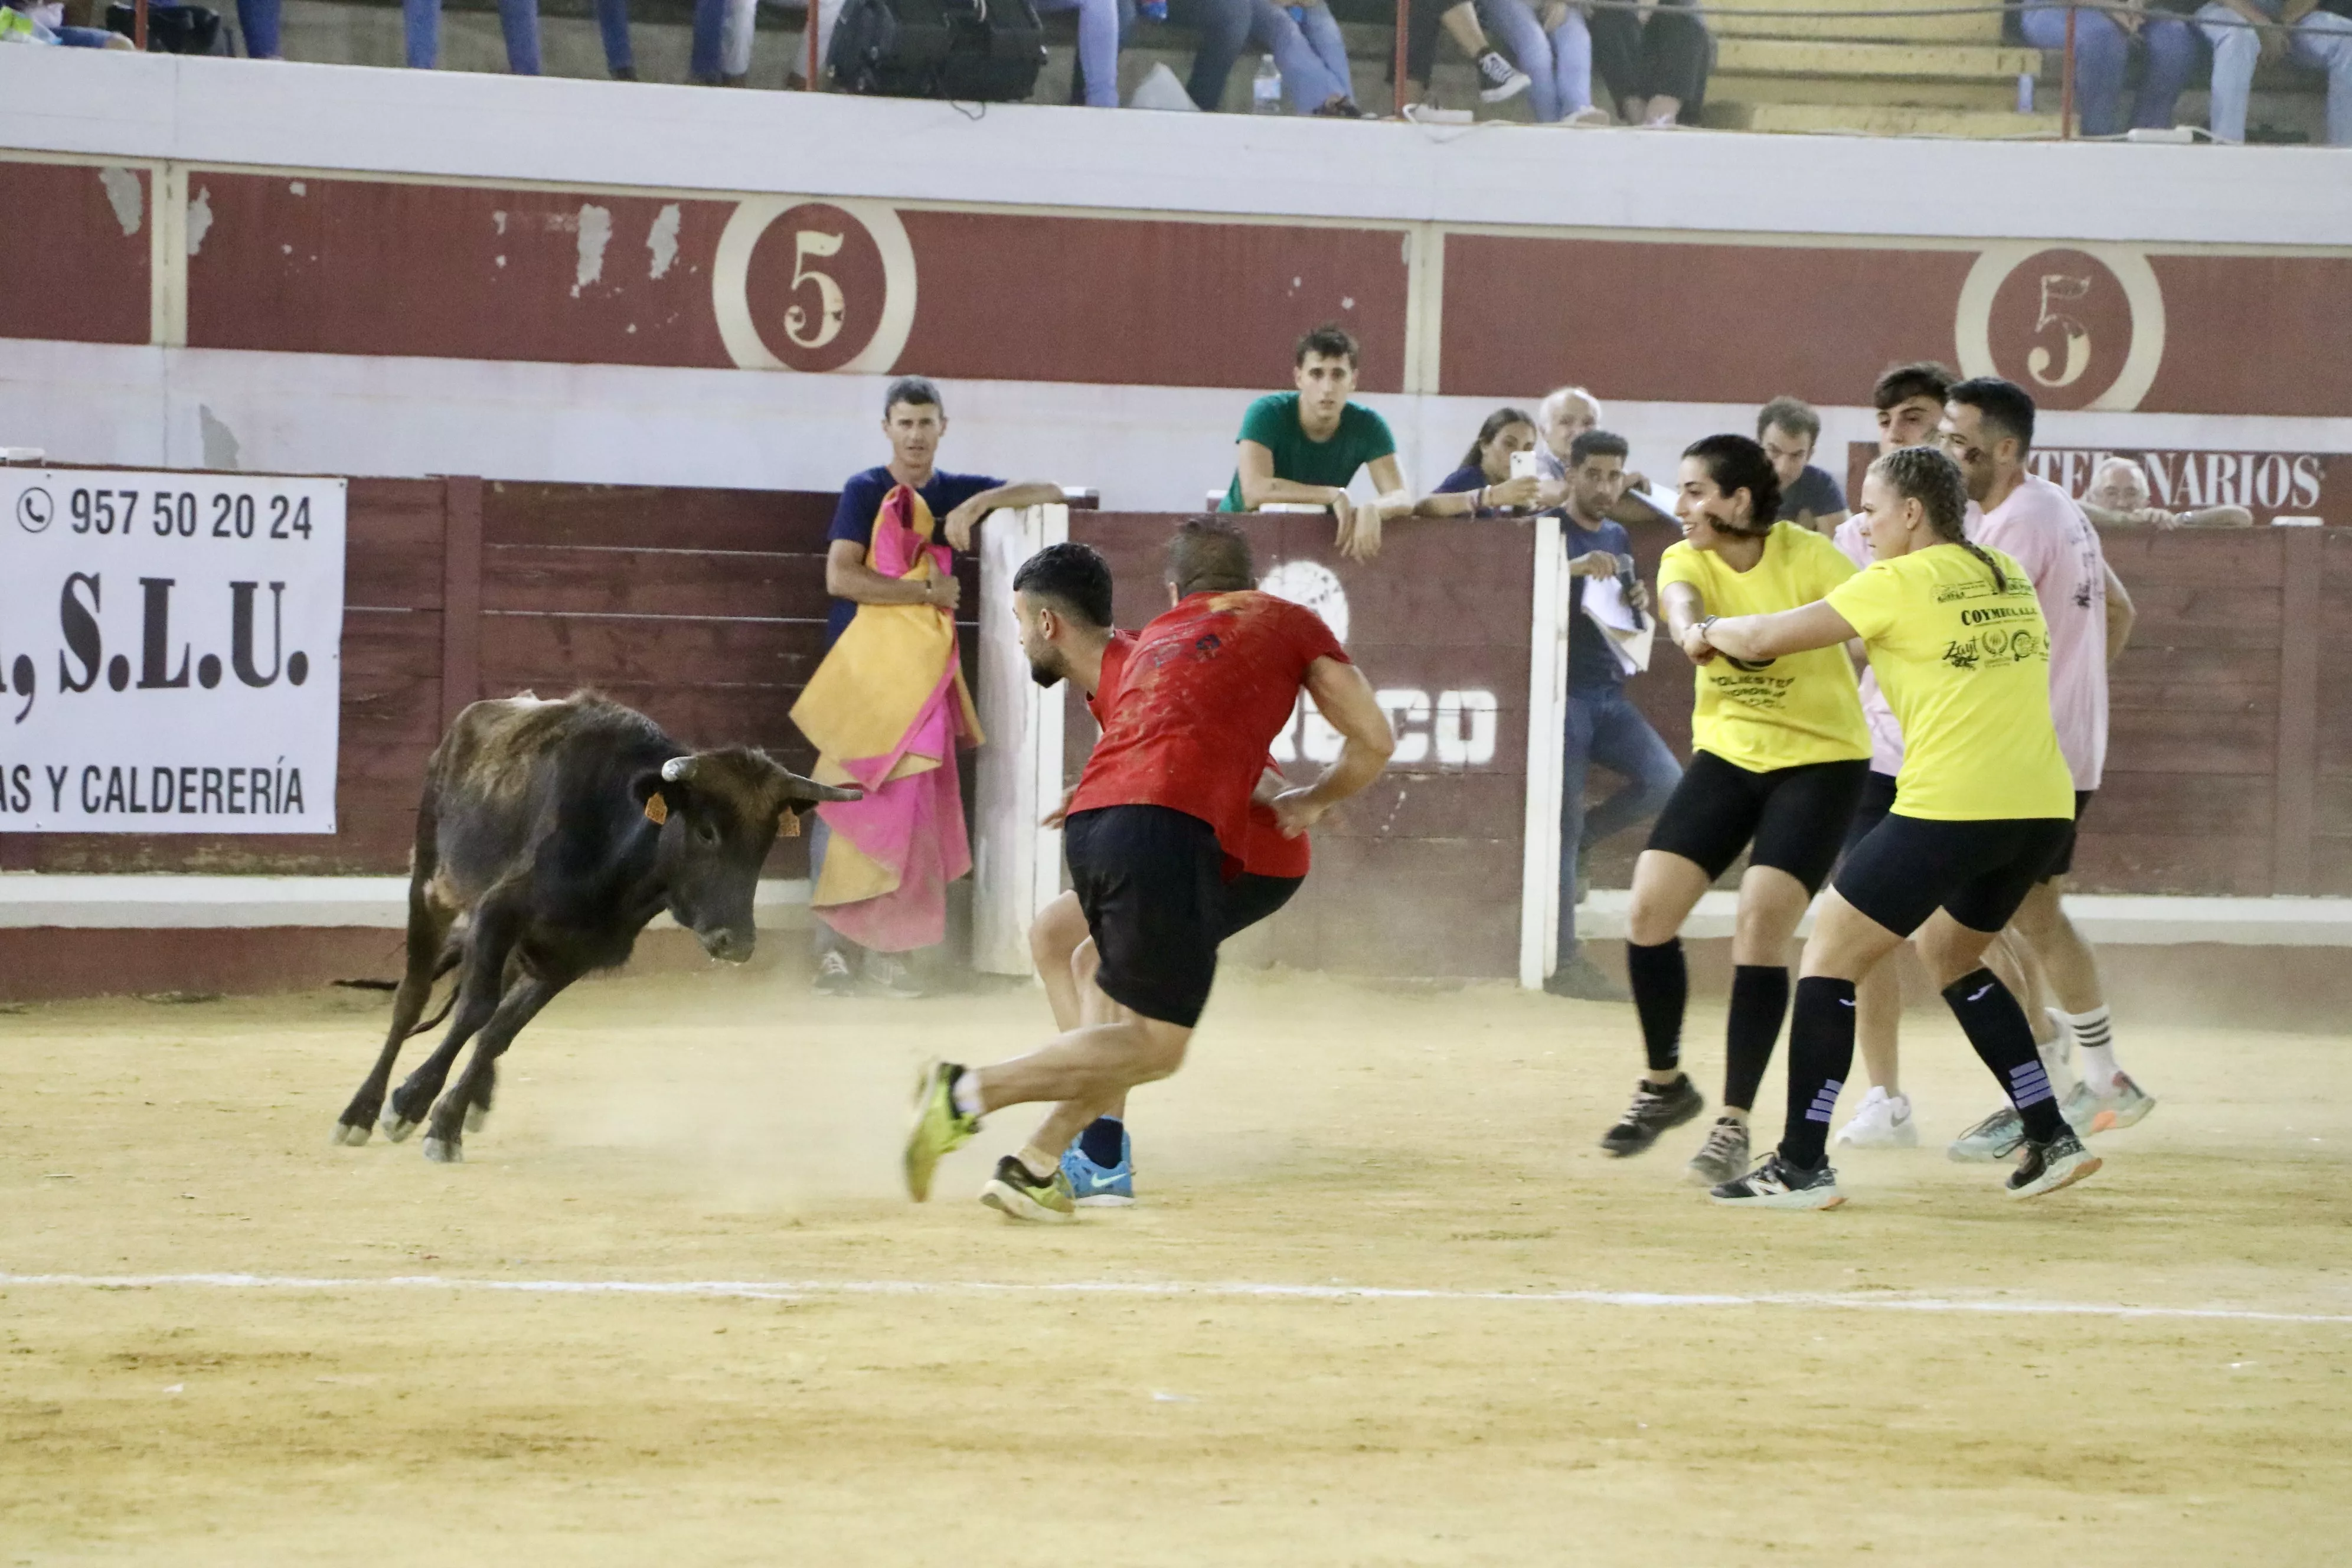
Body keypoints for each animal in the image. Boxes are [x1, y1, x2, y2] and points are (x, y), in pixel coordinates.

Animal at [326, 691, 851, 1161]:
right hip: (431, 883)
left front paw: (447, 1120)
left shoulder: (576, 954)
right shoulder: (498, 913)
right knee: (412, 998)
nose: (736, 943)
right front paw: (409, 1104)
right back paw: (359, 1113)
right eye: (706, 831)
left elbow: (500, 1031)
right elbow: (476, 1011)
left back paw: (474, 1097)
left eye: (765, 843)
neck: (615, 848)